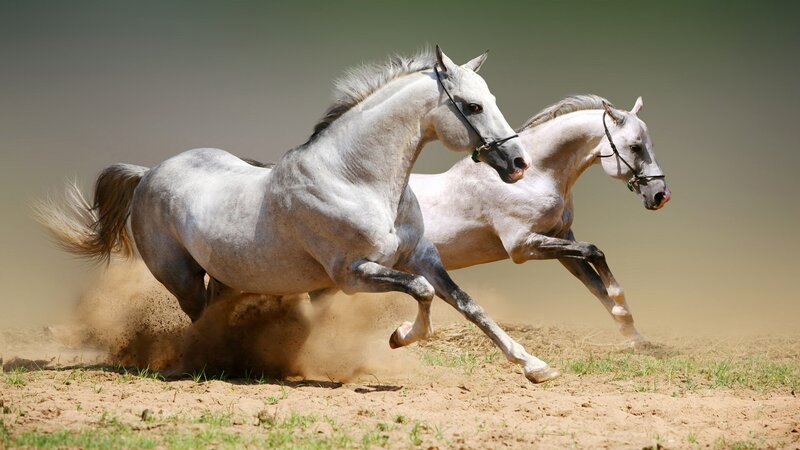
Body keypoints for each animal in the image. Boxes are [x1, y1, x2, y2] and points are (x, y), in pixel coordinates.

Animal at [38, 47, 562, 383]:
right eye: (472, 106)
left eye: (491, 100)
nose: (518, 164)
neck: (355, 179)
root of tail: (148, 173)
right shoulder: (352, 274)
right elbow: (423, 293)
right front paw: (399, 337)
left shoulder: (422, 257)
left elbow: (469, 305)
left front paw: (536, 367)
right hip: (180, 277)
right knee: (199, 317)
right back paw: (207, 363)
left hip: (226, 275)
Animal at [410, 95, 670, 346]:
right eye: (635, 147)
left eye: (652, 145)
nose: (660, 195)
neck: (532, 178)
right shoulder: (522, 246)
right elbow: (594, 251)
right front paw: (620, 304)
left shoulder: (560, 238)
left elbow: (594, 283)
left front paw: (634, 335)